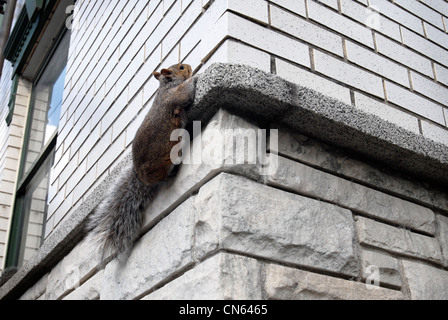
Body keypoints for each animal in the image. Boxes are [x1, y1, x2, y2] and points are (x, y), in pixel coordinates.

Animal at [87, 63, 198, 262]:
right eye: (181, 67)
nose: (190, 66)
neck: (166, 86)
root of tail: (141, 178)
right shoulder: (174, 96)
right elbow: (185, 94)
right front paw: (195, 76)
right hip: (165, 163)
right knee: (163, 177)